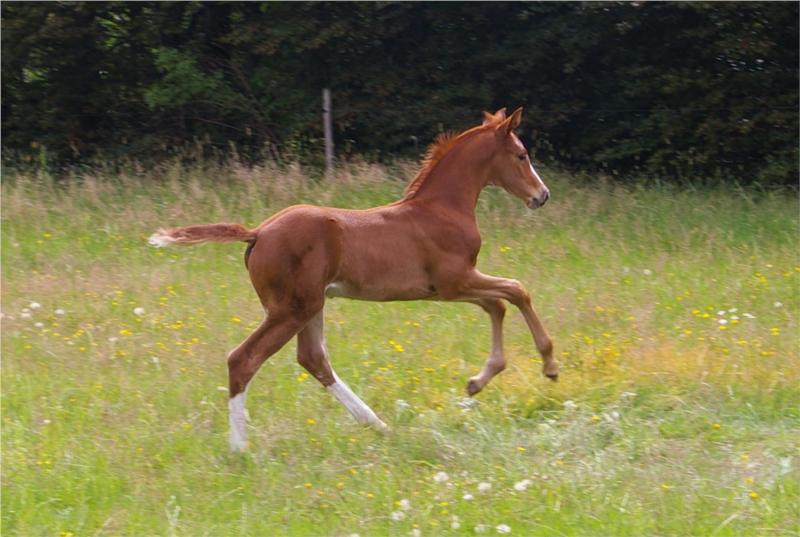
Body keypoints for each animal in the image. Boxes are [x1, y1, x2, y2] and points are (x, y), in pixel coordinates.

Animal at [148, 107, 556, 450]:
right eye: (522, 155)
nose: (542, 196)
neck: (442, 209)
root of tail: (258, 233)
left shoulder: (448, 289)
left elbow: (498, 304)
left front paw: (477, 382)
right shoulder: (455, 281)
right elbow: (516, 291)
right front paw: (548, 365)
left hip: (310, 305)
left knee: (313, 359)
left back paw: (378, 425)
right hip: (292, 308)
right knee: (244, 359)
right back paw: (239, 449)